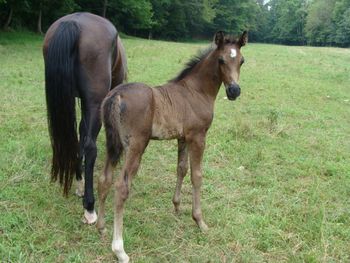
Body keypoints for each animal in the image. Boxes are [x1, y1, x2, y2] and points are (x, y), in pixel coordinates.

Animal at [97, 31, 247, 262]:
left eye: (241, 61)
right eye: (221, 60)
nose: (234, 91)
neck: (196, 91)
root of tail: (116, 95)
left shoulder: (183, 138)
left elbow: (181, 169)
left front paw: (177, 206)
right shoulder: (198, 137)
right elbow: (197, 175)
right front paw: (199, 220)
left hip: (112, 144)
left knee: (104, 178)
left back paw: (101, 226)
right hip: (136, 146)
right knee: (121, 186)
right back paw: (119, 249)